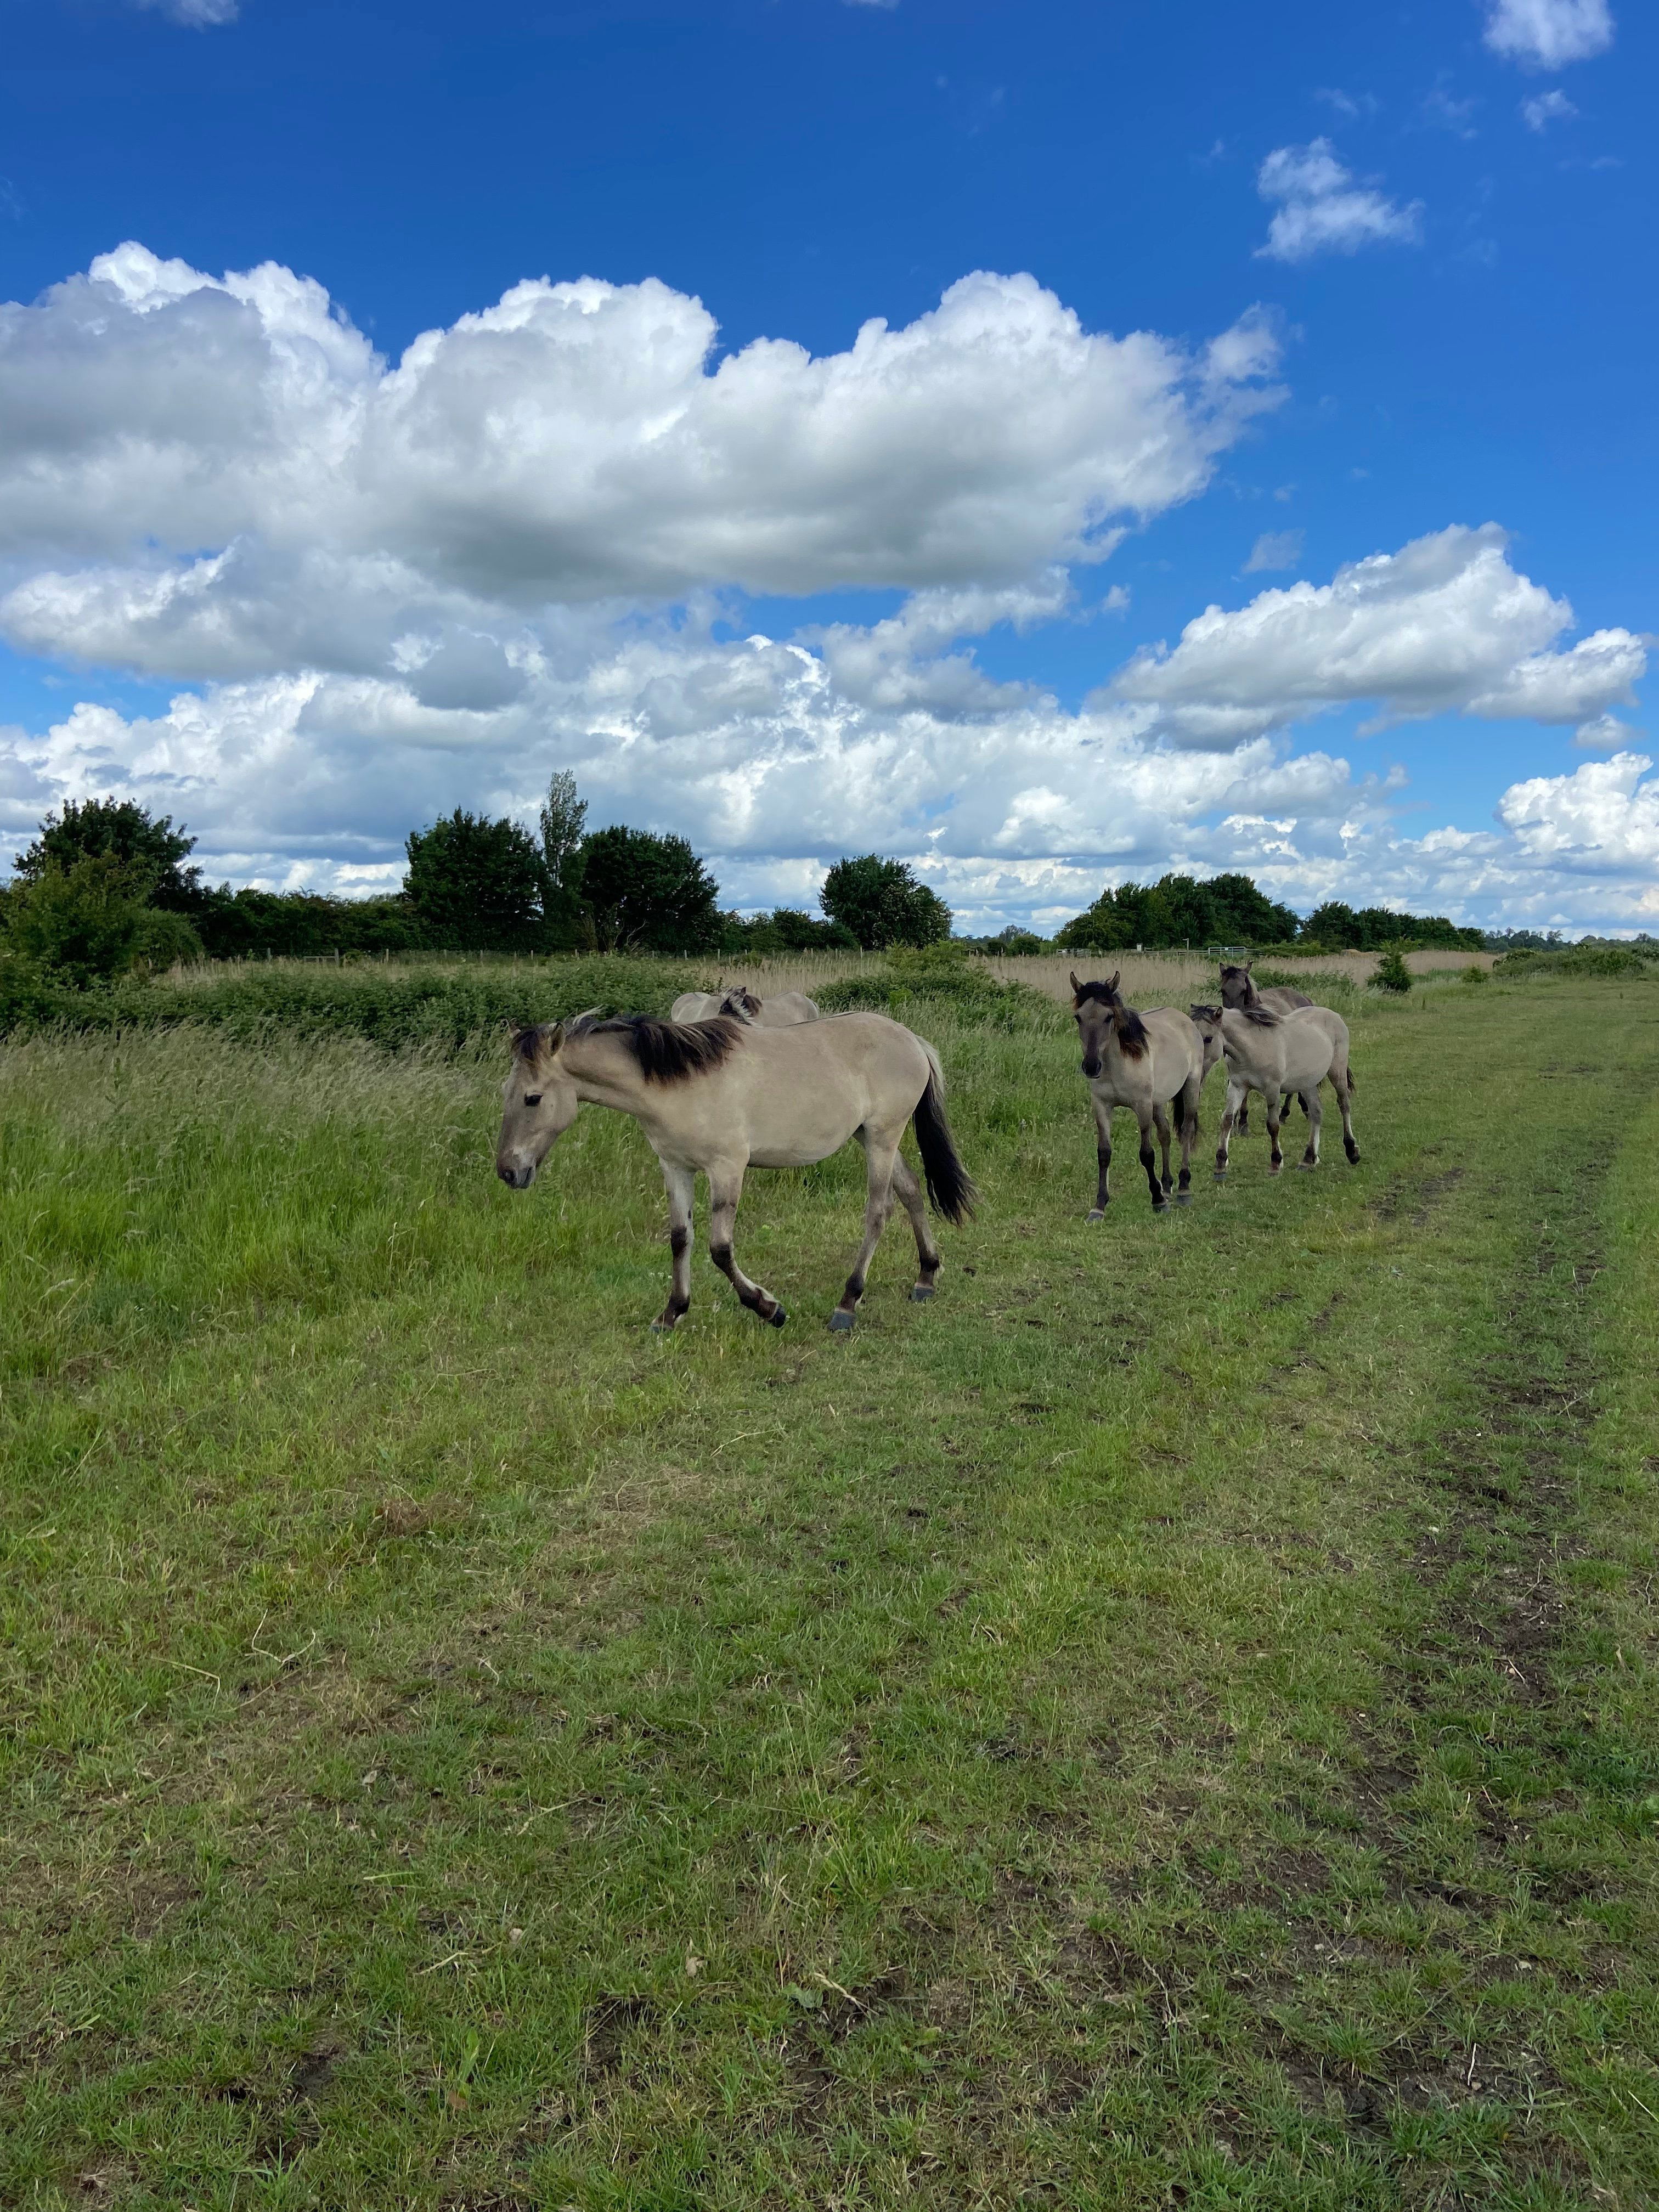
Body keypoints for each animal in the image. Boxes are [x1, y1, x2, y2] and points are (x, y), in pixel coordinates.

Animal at [500, 1013, 982, 1327]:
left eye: (532, 1098)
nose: (508, 1171)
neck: (679, 1083)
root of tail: (911, 1039)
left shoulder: (727, 1168)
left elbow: (720, 1249)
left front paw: (768, 1308)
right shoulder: (676, 1168)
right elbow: (680, 1239)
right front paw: (672, 1312)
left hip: (883, 1138)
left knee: (878, 1211)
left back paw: (847, 1303)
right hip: (871, 1137)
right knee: (912, 1191)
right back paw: (926, 1277)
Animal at [1194, 1000, 1362, 1177]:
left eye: (1208, 1039)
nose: (1197, 1073)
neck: (1254, 1046)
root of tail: (1334, 1015)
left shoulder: (1272, 1090)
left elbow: (1273, 1125)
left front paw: (1276, 1163)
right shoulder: (1237, 1087)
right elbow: (1227, 1120)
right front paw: (1220, 1164)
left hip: (1337, 1073)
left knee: (1344, 1104)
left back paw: (1352, 1152)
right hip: (1307, 1084)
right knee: (1316, 1112)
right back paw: (1308, 1159)